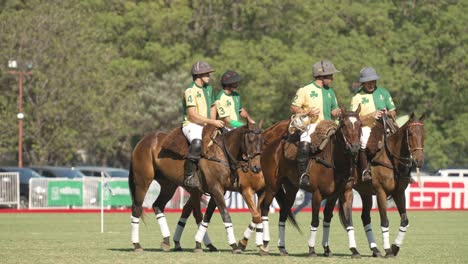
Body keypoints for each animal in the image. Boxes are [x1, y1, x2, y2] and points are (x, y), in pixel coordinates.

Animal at [128, 122, 264, 254]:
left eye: (262, 142)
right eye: (250, 139)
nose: (257, 167)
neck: (222, 153)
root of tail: (142, 142)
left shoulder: (218, 191)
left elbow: (206, 216)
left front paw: (200, 243)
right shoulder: (217, 189)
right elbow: (225, 215)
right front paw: (234, 245)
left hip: (168, 185)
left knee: (158, 205)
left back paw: (166, 241)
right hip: (142, 181)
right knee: (137, 208)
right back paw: (137, 245)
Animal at [260, 106, 362, 256]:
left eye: (360, 124)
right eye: (344, 125)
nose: (354, 148)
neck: (335, 162)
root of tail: (270, 146)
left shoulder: (342, 194)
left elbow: (343, 221)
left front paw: (350, 250)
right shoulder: (317, 194)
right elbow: (315, 221)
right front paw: (312, 249)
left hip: (291, 188)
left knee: (283, 212)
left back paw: (282, 248)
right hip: (272, 186)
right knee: (264, 208)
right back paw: (265, 244)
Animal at [352, 112, 426, 256]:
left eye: (423, 134)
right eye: (410, 134)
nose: (418, 161)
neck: (392, 160)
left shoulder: (399, 193)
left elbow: (405, 220)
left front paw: (395, 247)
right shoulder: (381, 191)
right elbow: (385, 221)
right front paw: (388, 249)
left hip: (364, 192)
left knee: (365, 217)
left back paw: (375, 250)